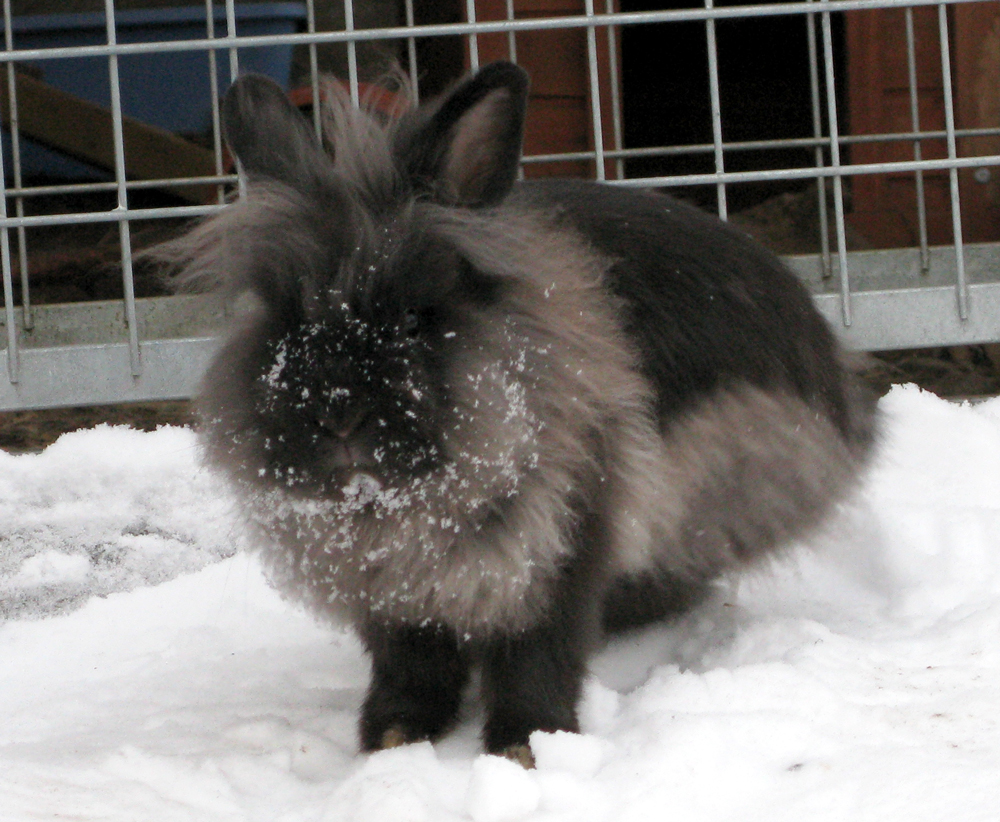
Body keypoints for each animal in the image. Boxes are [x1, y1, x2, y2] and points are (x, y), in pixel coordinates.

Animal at [158, 61, 878, 766]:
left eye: (415, 318)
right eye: (285, 319)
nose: (336, 416)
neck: (395, 506)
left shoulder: (561, 546)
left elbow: (539, 655)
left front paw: (525, 747)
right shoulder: (392, 600)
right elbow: (411, 668)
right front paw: (394, 740)